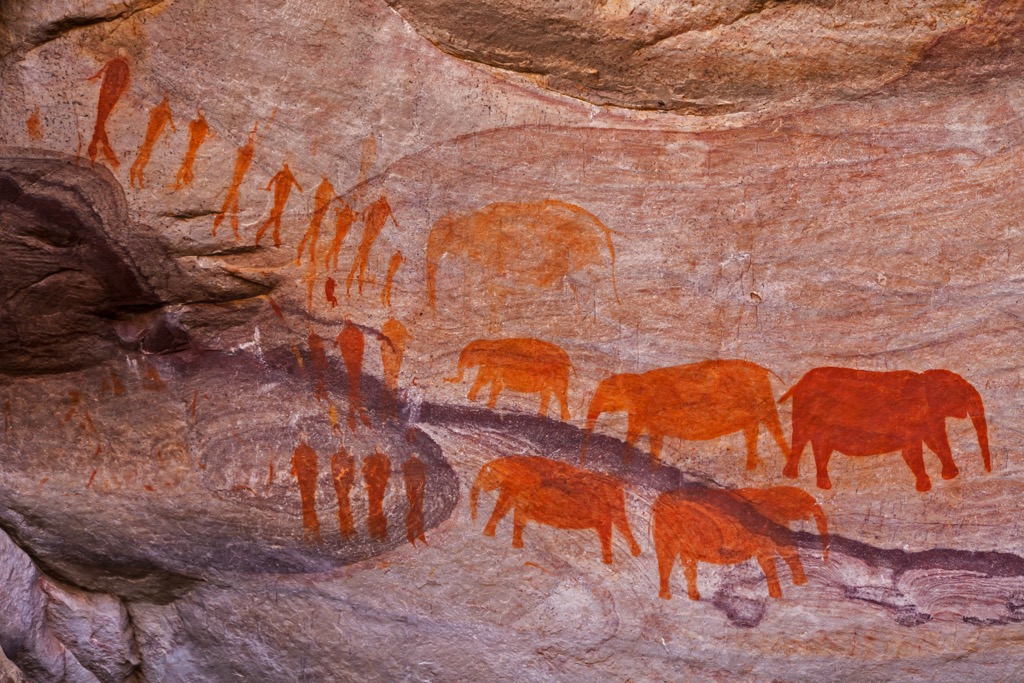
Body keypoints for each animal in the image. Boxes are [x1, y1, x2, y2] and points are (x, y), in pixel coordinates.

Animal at [448, 337, 577, 419]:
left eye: (472, 352)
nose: (446, 379)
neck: (490, 343)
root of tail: (567, 359)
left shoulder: (496, 366)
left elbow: (495, 385)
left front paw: (488, 406)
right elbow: (483, 381)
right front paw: (473, 400)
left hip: (559, 376)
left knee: (559, 395)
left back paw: (564, 418)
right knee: (547, 394)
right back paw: (544, 416)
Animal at [468, 456, 638, 565]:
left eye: (491, 474)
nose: (474, 520)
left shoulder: (516, 487)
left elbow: (506, 509)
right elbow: (513, 513)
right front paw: (511, 544)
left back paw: (611, 560)